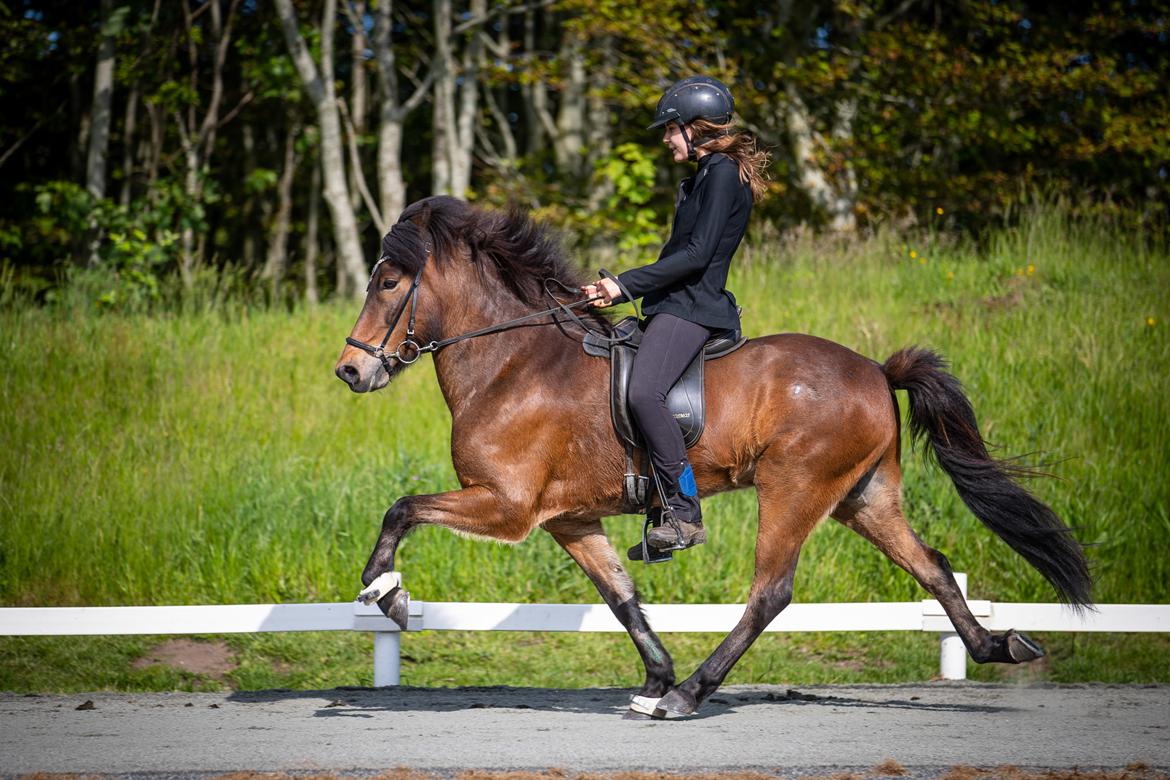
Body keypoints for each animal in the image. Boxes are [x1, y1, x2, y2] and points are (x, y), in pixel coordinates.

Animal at [334, 196, 1090, 720]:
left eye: (389, 283)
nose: (349, 371)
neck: (514, 362)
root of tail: (877, 371)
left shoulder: (506, 505)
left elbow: (401, 508)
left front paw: (385, 592)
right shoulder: (568, 519)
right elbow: (621, 597)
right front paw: (654, 675)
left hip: (794, 488)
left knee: (770, 592)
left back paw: (691, 695)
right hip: (863, 498)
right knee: (931, 566)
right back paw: (999, 646)